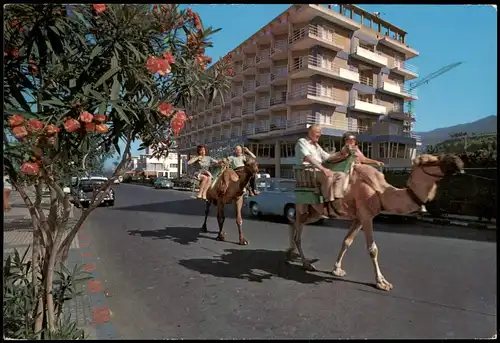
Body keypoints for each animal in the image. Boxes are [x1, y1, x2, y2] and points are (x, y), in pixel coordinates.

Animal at [288, 155, 466, 292]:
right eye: (429, 161)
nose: (457, 161)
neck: (381, 193)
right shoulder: (367, 216)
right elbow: (373, 249)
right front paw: (382, 282)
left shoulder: (359, 218)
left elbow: (347, 241)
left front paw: (337, 269)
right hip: (304, 206)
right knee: (297, 228)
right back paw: (306, 263)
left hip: (315, 213)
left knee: (294, 222)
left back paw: (291, 252)